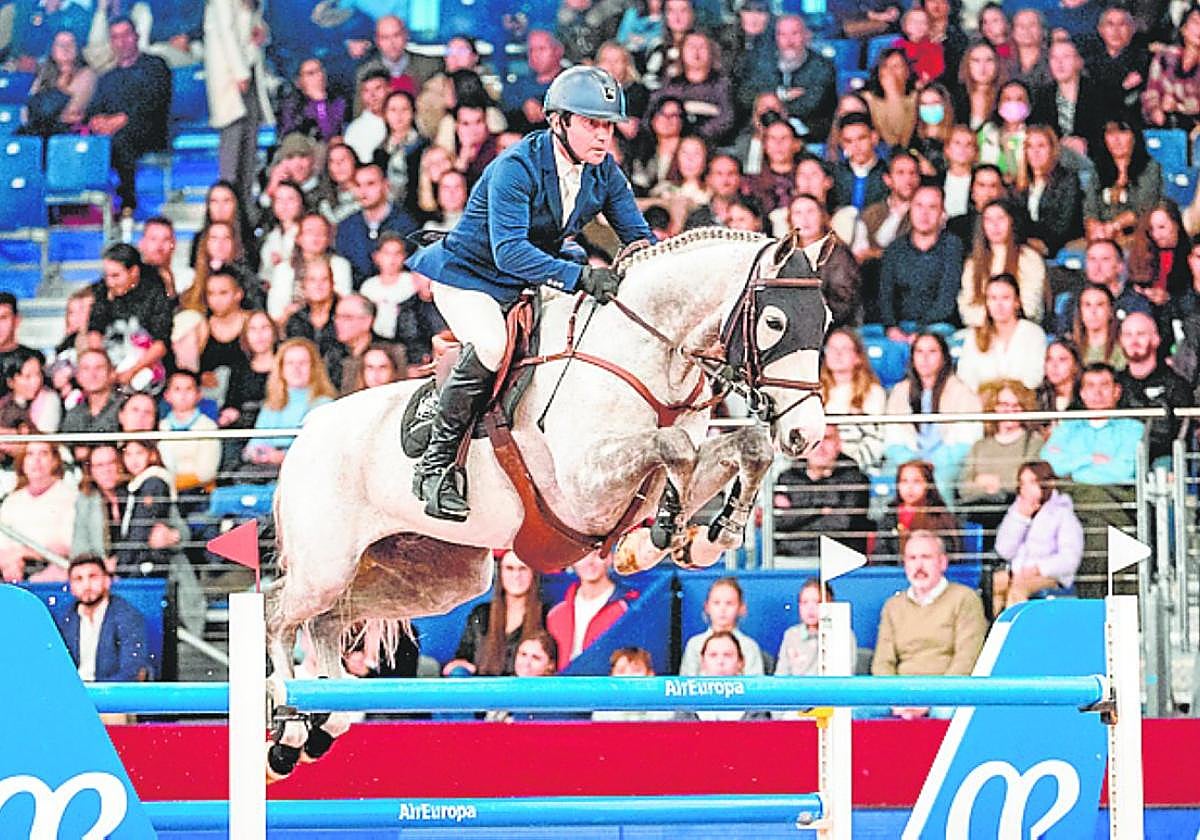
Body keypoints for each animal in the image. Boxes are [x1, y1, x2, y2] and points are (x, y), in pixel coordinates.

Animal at [263, 227, 831, 776]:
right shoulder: (585, 488)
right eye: (776, 321)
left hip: (437, 577)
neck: (649, 357)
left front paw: (699, 541)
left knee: (327, 621)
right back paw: (287, 725)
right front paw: (663, 537)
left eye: (825, 320)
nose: (805, 435)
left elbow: (744, 447)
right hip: (327, 567)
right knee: (276, 613)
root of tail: (306, 434)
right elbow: (676, 447)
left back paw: (325, 723)